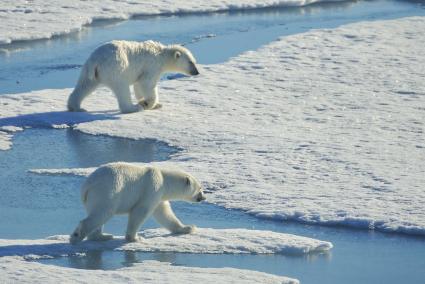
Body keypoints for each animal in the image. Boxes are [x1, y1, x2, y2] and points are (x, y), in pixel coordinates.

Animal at [66, 40, 199, 113]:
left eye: (194, 61)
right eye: (191, 62)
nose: (197, 72)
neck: (161, 55)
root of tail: (96, 60)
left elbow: (138, 85)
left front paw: (153, 104)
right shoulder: (152, 65)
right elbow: (146, 84)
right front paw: (147, 104)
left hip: (91, 71)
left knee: (84, 85)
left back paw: (76, 107)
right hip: (116, 67)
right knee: (122, 88)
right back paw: (133, 108)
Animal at [69, 162, 205, 244]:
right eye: (200, 188)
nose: (203, 198)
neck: (164, 180)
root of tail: (87, 186)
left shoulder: (158, 195)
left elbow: (164, 213)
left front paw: (187, 228)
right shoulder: (152, 188)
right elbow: (141, 211)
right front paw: (135, 238)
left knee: (98, 215)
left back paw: (103, 236)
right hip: (107, 191)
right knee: (102, 212)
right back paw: (76, 236)